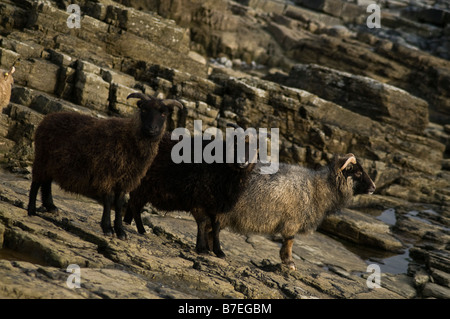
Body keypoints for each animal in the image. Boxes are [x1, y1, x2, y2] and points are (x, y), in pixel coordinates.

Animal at [27, 92, 183, 240]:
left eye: (163, 114)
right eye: (144, 109)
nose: (152, 129)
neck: (129, 138)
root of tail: (48, 118)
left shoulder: (125, 180)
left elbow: (119, 204)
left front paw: (121, 232)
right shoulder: (107, 174)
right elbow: (108, 200)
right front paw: (108, 228)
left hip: (51, 163)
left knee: (46, 182)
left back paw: (51, 207)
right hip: (42, 157)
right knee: (36, 182)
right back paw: (31, 210)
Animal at [216, 153, 374, 270]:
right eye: (358, 173)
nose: (373, 187)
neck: (317, 188)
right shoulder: (293, 220)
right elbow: (290, 240)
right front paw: (289, 262)